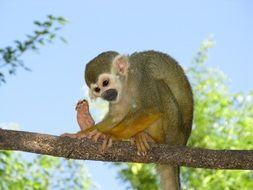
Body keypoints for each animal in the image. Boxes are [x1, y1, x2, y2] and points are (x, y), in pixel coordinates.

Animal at [64, 50, 193, 190]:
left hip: (173, 132)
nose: (105, 94)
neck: (127, 81)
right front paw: (84, 133)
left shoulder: (144, 76)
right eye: (97, 89)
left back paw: (153, 139)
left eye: (105, 83)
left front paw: (109, 135)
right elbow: (117, 116)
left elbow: (152, 108)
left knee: (159, 85)